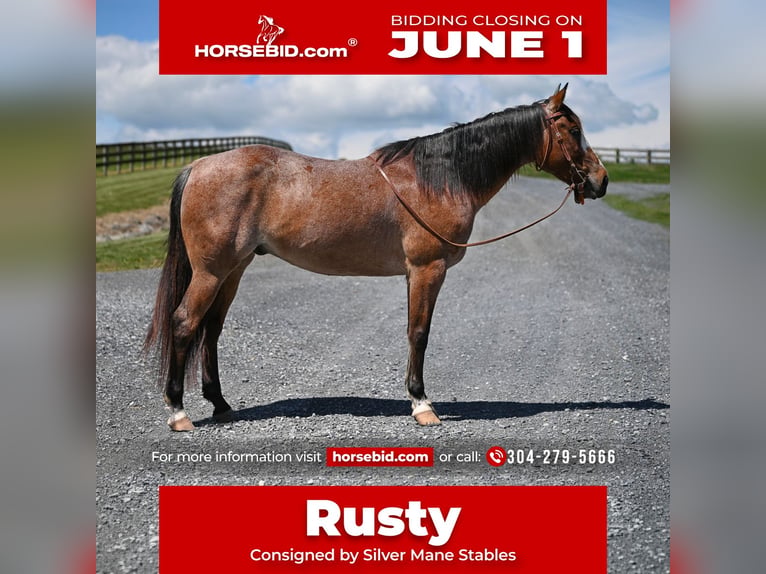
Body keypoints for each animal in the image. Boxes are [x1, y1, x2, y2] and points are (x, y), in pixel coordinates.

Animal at [144, 84, 608, 431]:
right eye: (572, 128)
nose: (601, 180)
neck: (438, 178)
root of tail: (199, 166)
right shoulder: (427, 270)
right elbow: (419, 333)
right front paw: (422, 405)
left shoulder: (413, 275)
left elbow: (412, 331)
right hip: (212, 271)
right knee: (184, 323)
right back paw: (179, 413)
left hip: (234, 270)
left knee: (211, 329)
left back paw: (221, 405)